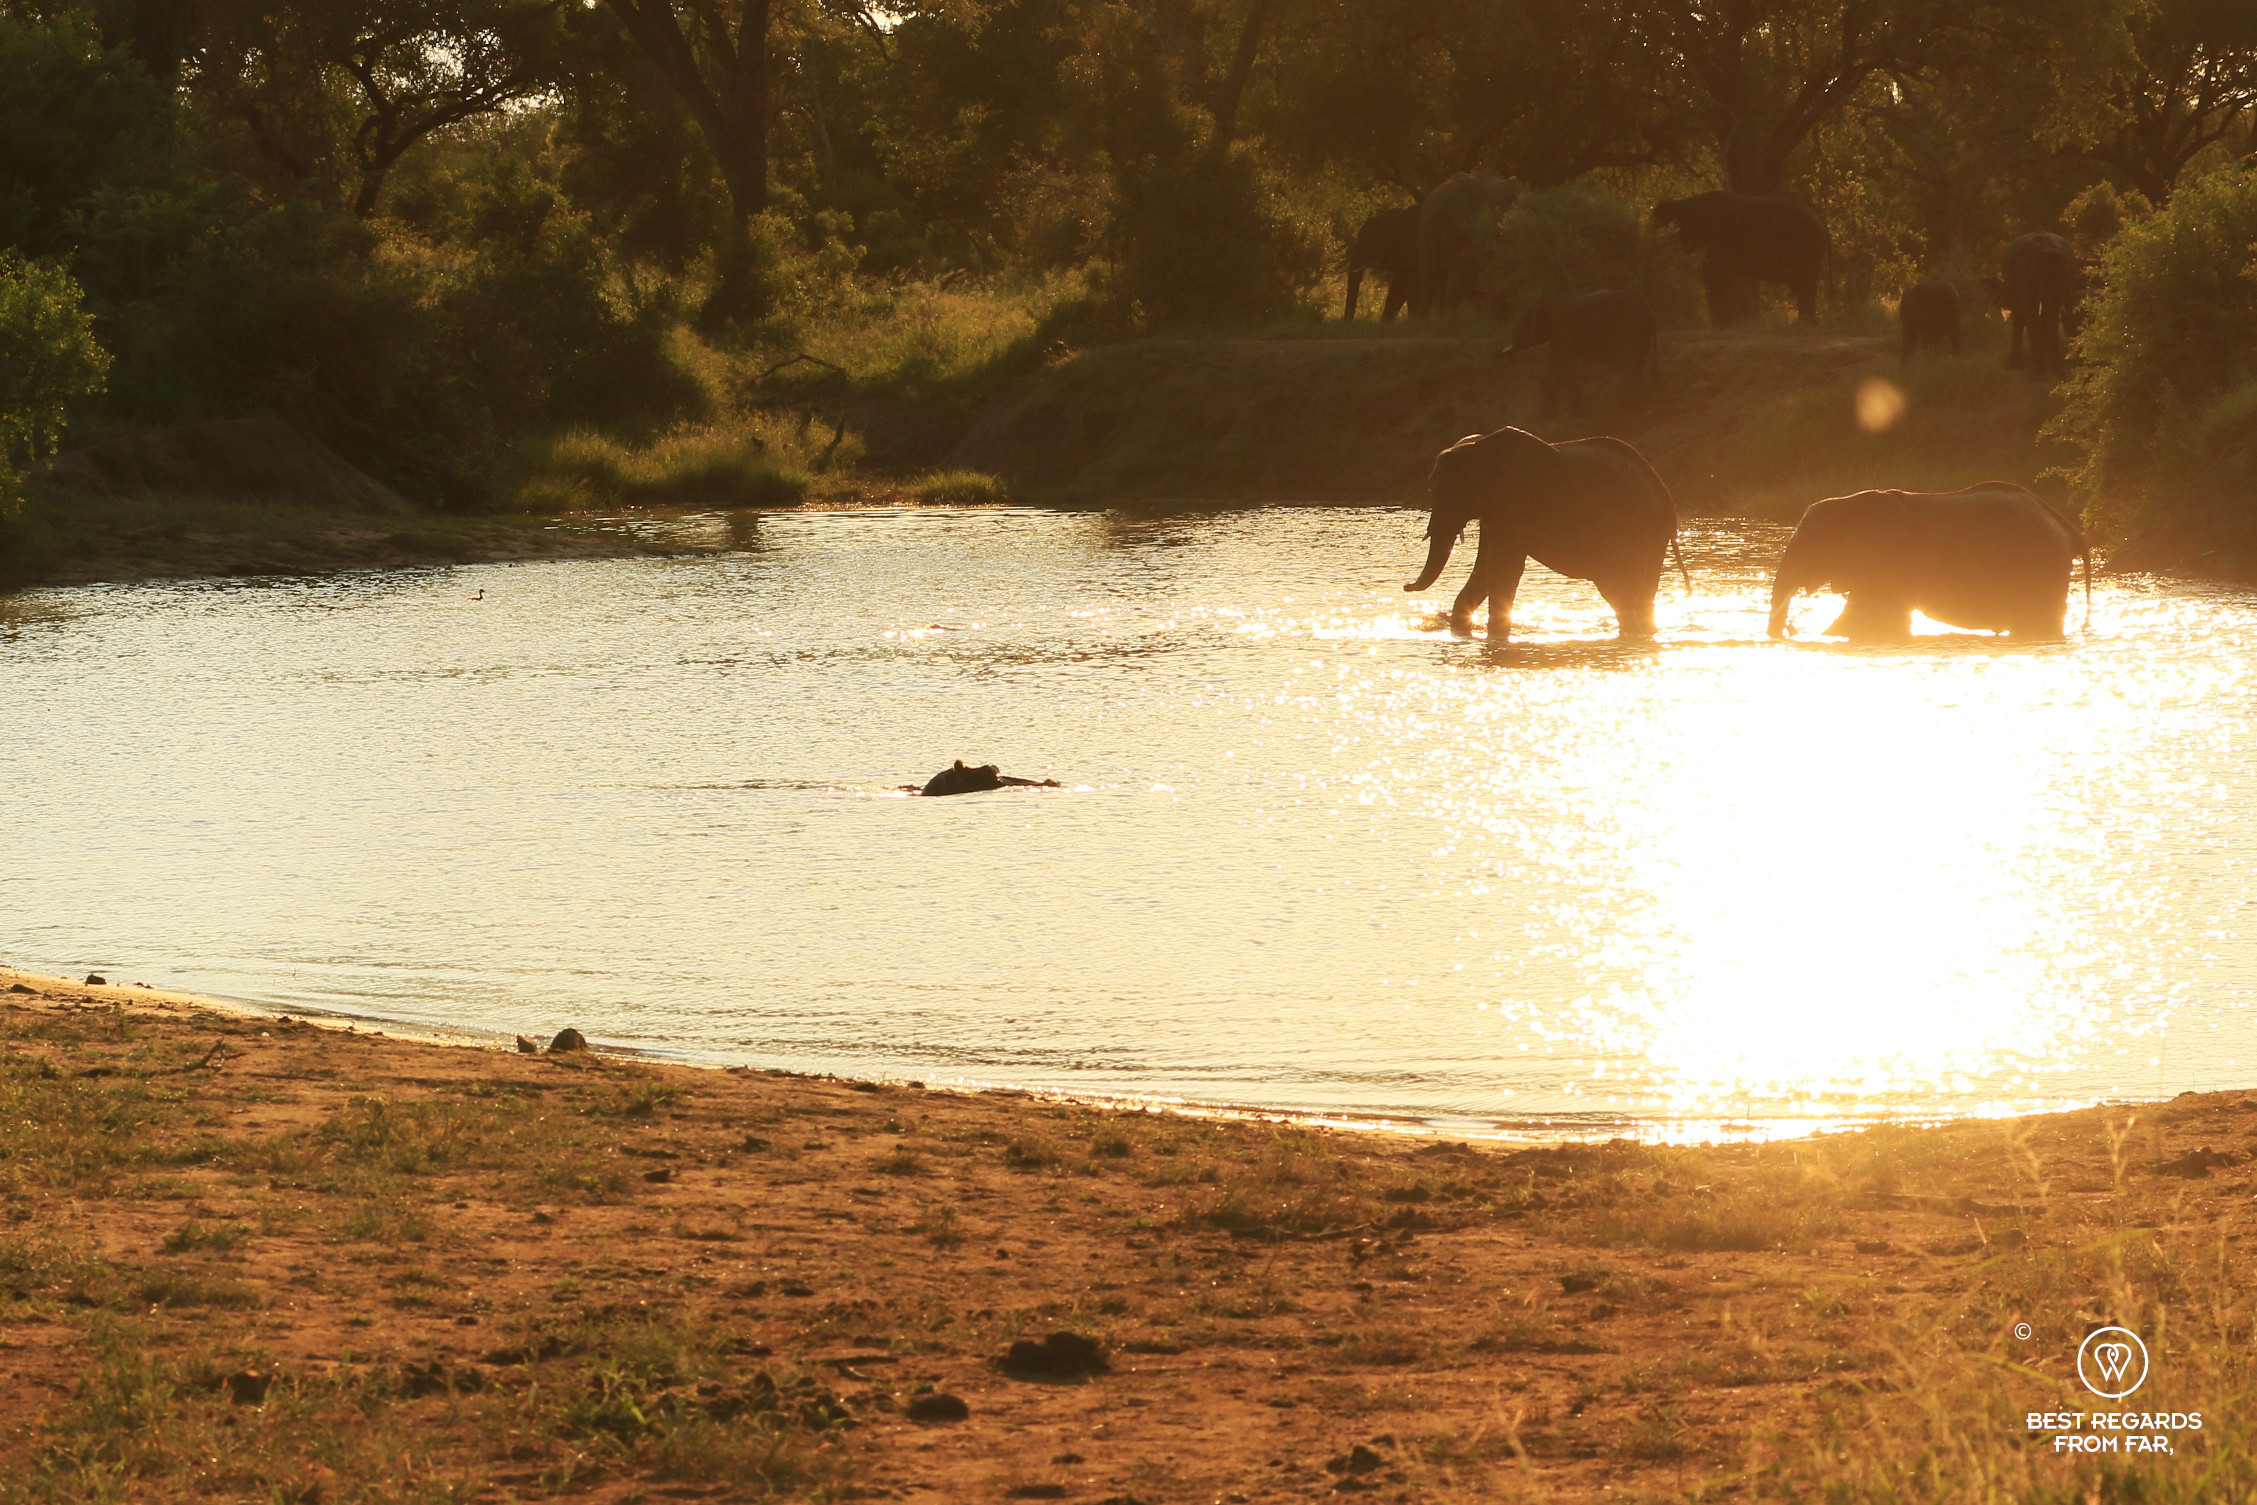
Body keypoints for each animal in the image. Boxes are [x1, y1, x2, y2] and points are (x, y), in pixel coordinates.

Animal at [1403, 426, 1687, 642]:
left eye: (1436, 490)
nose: (1406, 586)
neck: (1480, 448)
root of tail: (1666, 500)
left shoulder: (1514, 505)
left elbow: (1501, 568)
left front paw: (1496, 637)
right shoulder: (1495, 511)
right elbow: (1483, 571)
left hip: (1626, 532)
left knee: (1619, 594)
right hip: (1652, 537)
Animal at [1500, 289, 1658, 414]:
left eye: (1521, 326)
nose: (1501, 355)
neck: (1546, 301)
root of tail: (1643, 302)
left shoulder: (1562, 332)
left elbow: (1566, 365)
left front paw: (1576, 412)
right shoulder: (1557, 336)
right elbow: (1555, 367)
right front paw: (1545, 414)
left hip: (1626, 330)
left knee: (1625, 364)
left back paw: (1629, 406)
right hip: (1641, 331)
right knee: (1637, 362)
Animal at [1651, 192, 1829, 326]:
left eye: (1656, 226)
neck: (1682, 203)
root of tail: (1817, 215)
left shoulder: (1714, 238)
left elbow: (1716, 277)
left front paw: (1721, 326)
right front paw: (1723, 325)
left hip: (1803, 247)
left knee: (1803, 283)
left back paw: (1806, 323)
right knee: (1803, 284)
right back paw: (1806, 323)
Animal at [1767, 483, 2091, 641]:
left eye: (1809, 548)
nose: (1791, 629)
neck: (1849, 503)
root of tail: (2070, 528)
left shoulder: (1886, 561)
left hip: (2039, 563)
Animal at [1988, 233, 2078, 376]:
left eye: (2063, 276)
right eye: (2037, 277)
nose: (2064, 377)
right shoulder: (2024, 280)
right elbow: (2031, 316)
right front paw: (2037, 376)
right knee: (2019, 320)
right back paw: (2013, 365)